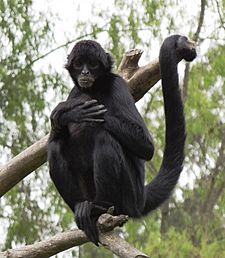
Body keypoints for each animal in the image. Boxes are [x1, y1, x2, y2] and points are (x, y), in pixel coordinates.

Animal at [48, 35, 197, 245]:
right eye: (78, 64)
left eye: (92, 64)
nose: (85, 72)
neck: (94, 90)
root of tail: (140, 199)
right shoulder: (74, 92)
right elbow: (55, 135)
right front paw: (68, 112)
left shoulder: (117, 85)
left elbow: (146, 147)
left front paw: (72, 109)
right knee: (55, 147)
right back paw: (83, 208)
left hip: (128, 194)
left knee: (105, 138)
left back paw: (99, 208)